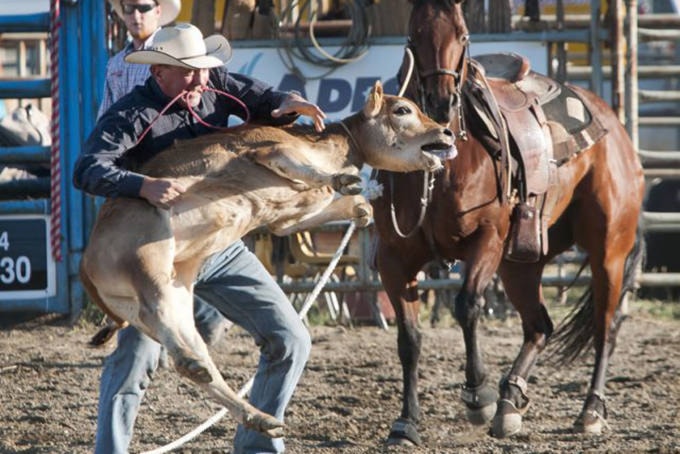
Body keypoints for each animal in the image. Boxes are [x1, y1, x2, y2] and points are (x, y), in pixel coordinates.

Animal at [372, 0, 644, 444]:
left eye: (463, 34)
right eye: (414, 34)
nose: (441, 102)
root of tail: (613, 123)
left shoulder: (487, 240)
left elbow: (467, 305)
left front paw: (477, 396)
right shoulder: (393, 259)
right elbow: (408, 339)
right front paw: (406, 422)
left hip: (609, 251)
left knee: (606, 328)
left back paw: (589, 410)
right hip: (522, 261)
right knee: (539, 327)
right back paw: (510, 402)